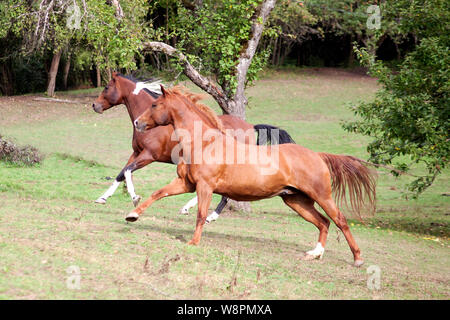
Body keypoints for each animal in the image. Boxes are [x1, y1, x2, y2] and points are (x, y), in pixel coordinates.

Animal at [92, 73, 296, 222]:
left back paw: (208, 216)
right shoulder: (136, 152)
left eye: (106, 87)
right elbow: (121, 173)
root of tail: (250, 126)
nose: (94, 105)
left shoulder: (149, 155)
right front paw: (102, 198)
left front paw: (135, 198)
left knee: (223, 194)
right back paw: (190, 209)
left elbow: (127, 171)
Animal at [127, 86, 376, 266]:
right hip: (296, 200)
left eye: (154, 104)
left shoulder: (204, 187)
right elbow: (157, 193)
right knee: (323, 222)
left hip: (322, 196)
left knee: (340, 220)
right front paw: (132, 215)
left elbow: (200, 214)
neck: (204, 143)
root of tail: (318, 155)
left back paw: (358, 258)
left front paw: (193, 241)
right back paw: (314, 254)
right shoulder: (186, 183)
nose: (138, 122)